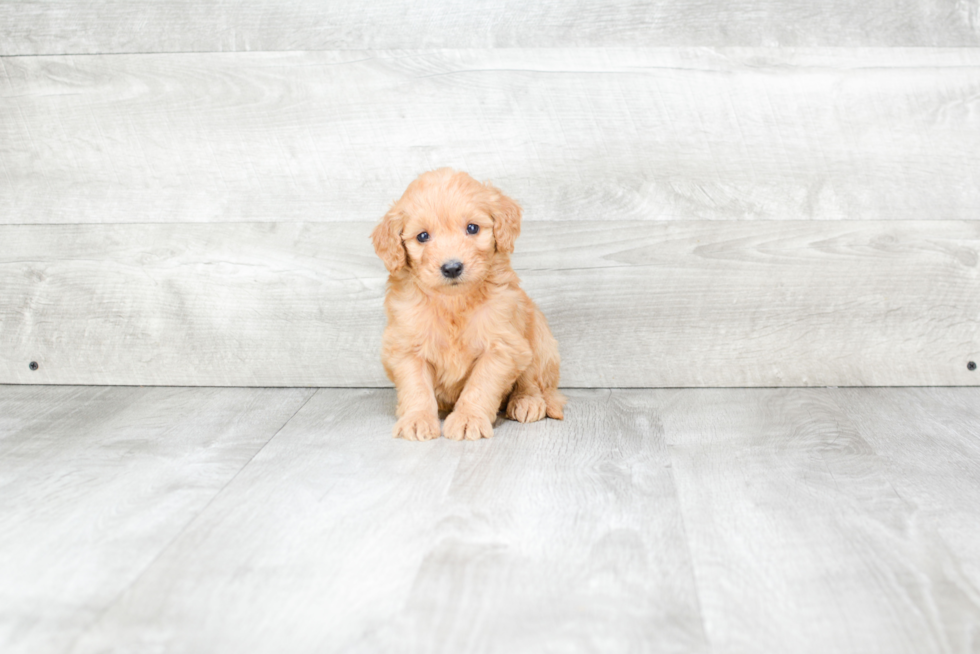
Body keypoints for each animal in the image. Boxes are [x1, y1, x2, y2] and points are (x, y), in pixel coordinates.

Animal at [370, 170, 568, 446]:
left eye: (472, 228)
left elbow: (480, 386)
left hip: (538, 337)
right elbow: (416, 387)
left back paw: (527, 402)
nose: (452, 267)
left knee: (537, 383)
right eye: (422, 236)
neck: (454, 302)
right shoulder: (407, 346)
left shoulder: (501, 345)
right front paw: (417, 419)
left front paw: (468, 419)